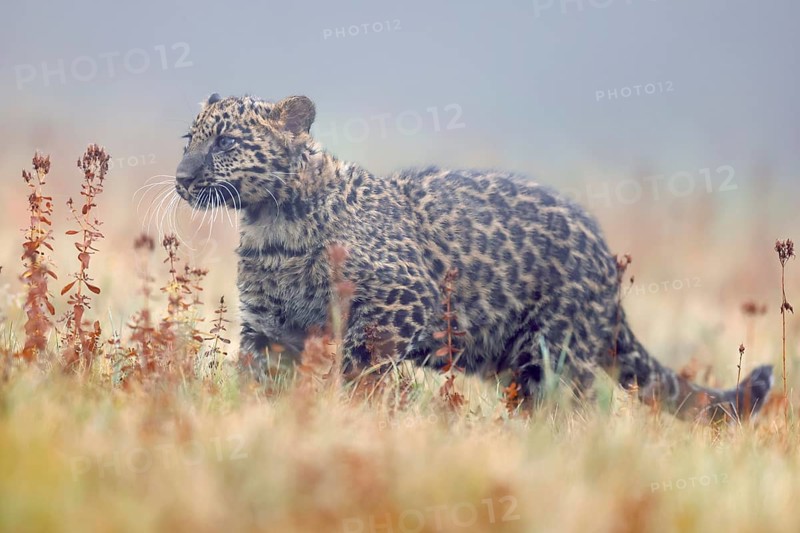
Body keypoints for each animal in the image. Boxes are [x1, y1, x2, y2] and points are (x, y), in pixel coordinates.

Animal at [175, 93, 773, 422]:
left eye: (226, 142)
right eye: (189, 139)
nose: (181, 176)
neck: (272, 225)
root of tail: (606, 256)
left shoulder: (403, 302)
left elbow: (362, 366)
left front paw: (350, 410)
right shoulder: (268, 327)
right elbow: (257, 379)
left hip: (554, 356)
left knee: (574, 413)